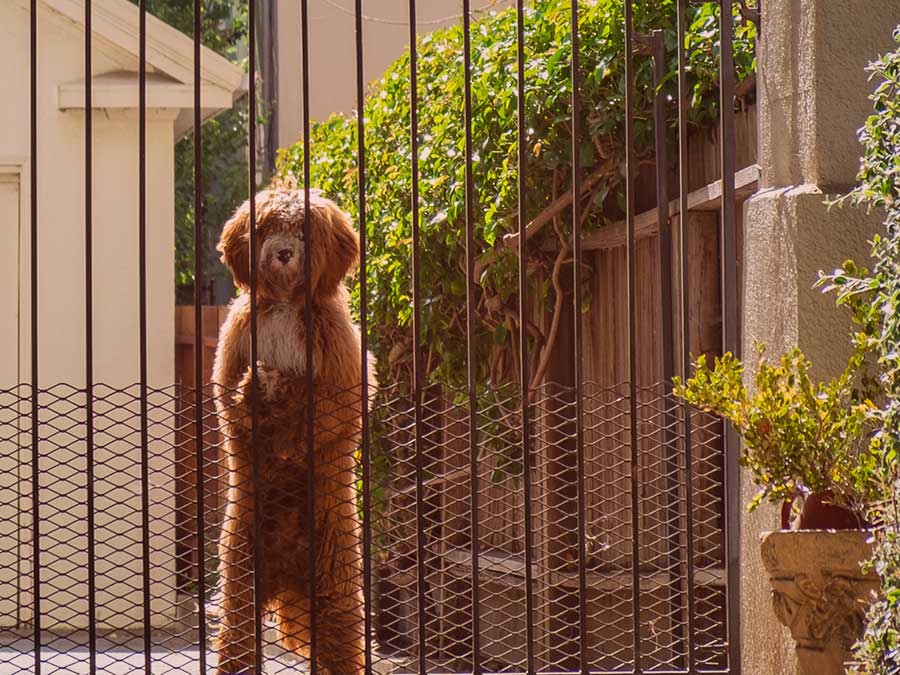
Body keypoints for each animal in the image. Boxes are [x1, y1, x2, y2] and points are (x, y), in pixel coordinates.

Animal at [210, 189, 372, 675]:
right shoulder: (231, 359)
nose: (282, 253)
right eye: (265, 228)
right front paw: (261, 390)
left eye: (302, 231)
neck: (283, 305)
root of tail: (285, 574)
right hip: (241, 574)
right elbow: (237, 404)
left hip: (335, 585)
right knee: (237, 640)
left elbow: (317, 408)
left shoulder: (344, 377)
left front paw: (283, 394)